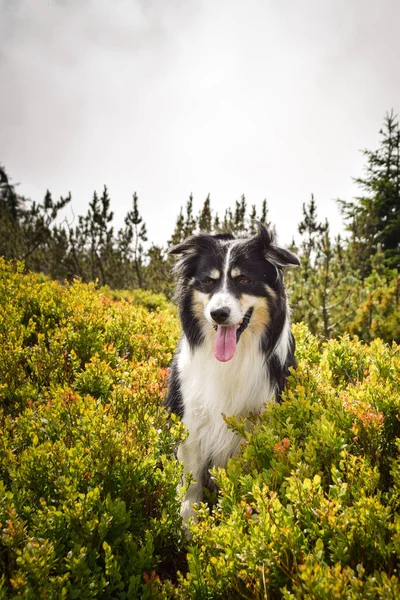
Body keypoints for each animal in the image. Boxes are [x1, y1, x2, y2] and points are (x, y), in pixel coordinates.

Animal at [166, 223, 300, 524]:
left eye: (244, 281)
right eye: (208, 281)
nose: (218, 313)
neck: (231, 360)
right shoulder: (191, 422)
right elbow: (191, 487)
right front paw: (189, 527)